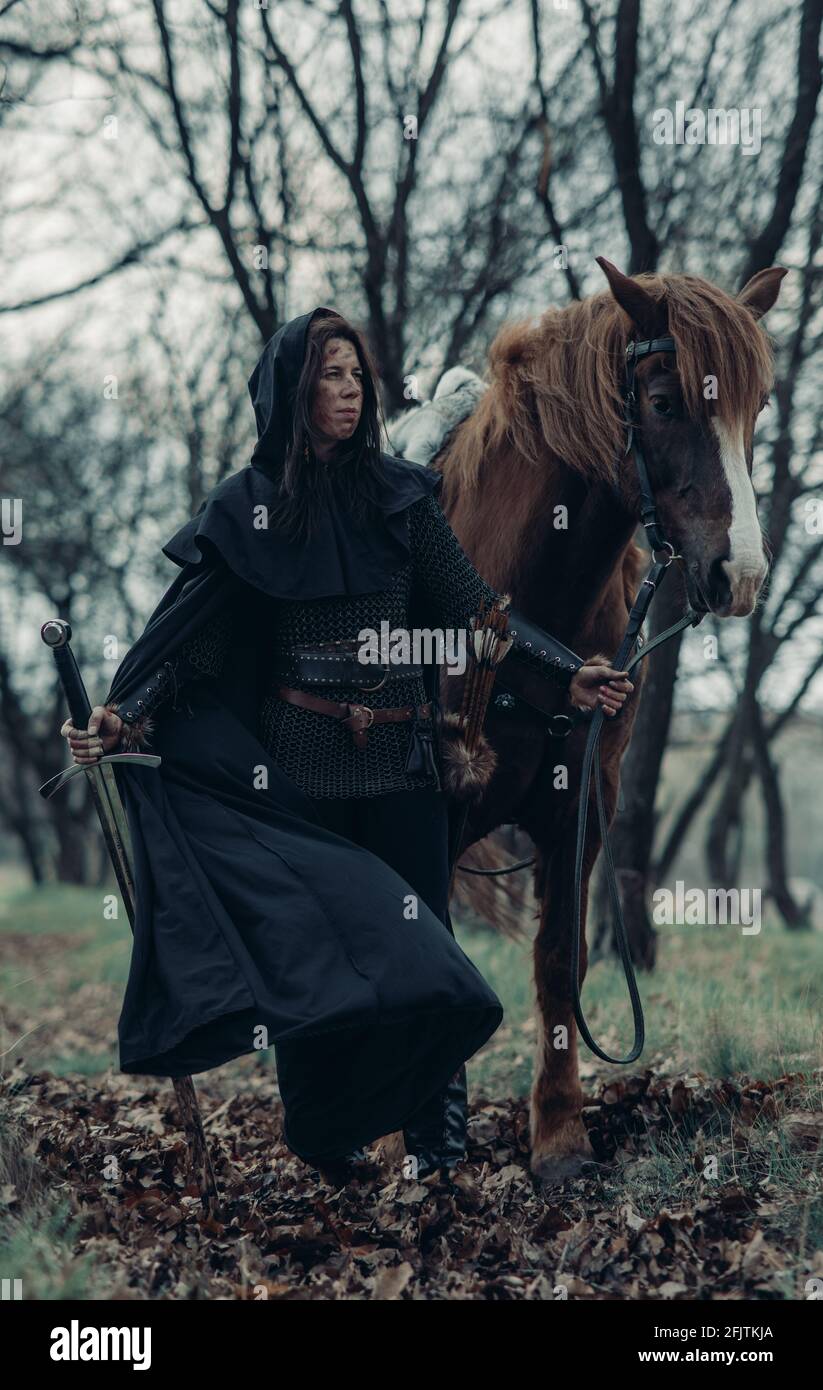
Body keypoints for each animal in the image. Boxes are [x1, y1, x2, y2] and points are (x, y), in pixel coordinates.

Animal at [417, 255, 784, 1178]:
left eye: (756, 406)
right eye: (662, 401)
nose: (742, 574)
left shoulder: (582, 798)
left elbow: (559, 959)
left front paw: (558, 1135)